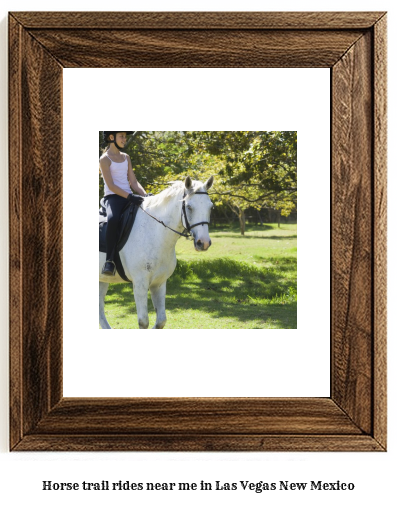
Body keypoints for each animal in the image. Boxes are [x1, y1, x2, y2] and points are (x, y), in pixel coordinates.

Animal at [99, 177, 213, 332]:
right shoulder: (140, 284)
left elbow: (161, 321)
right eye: (189, 207)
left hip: (103, 279)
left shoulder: (159, 283)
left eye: (210, 207)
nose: (204, 243)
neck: (154, 231)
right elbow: (143, 322)